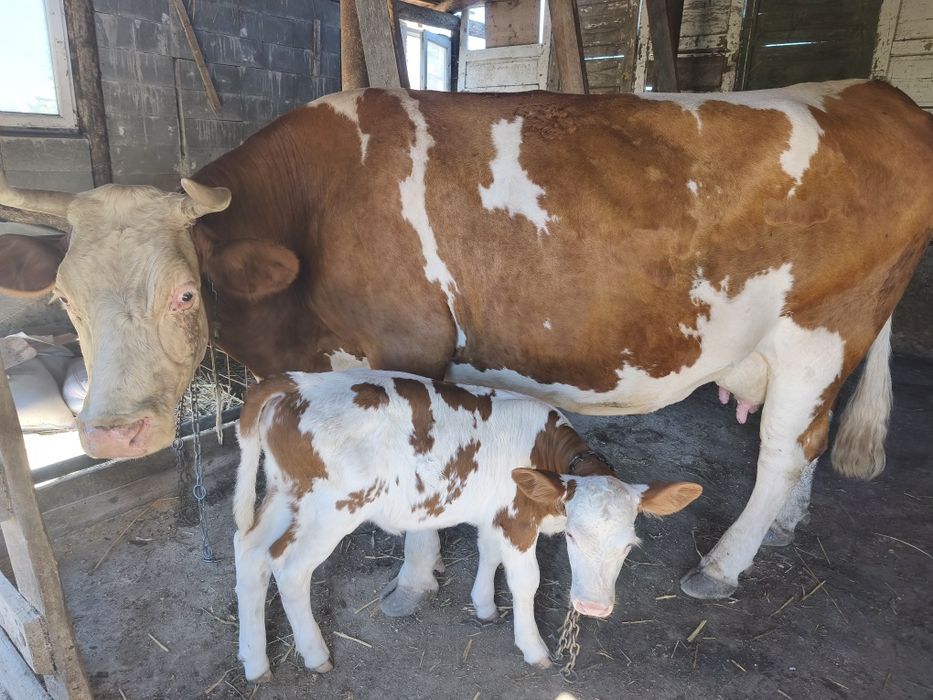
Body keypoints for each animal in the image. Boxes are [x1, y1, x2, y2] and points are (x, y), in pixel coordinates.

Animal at [0, 79, 930, 607]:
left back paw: (726, 563)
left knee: (783, 447)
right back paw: (781, 531)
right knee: (805, 438)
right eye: (65, 300)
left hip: (823, 323)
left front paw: (413, 581)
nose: (113, 434)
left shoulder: (411, 347)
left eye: (185, 291)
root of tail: (875, 90)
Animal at [232, 369, 702, 679]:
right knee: (288, 568)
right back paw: (315, 655)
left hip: (285, 494)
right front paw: (532, 647)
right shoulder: (517, 520)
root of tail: (299, 381)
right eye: (571, 535)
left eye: (629, 545)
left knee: (250, 551)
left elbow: (488, 553)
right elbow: (526, 581)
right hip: (329, 509)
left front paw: (484, 605)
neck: (545, 451)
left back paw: (255, 662)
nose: (592, 607)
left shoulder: (494, 513)